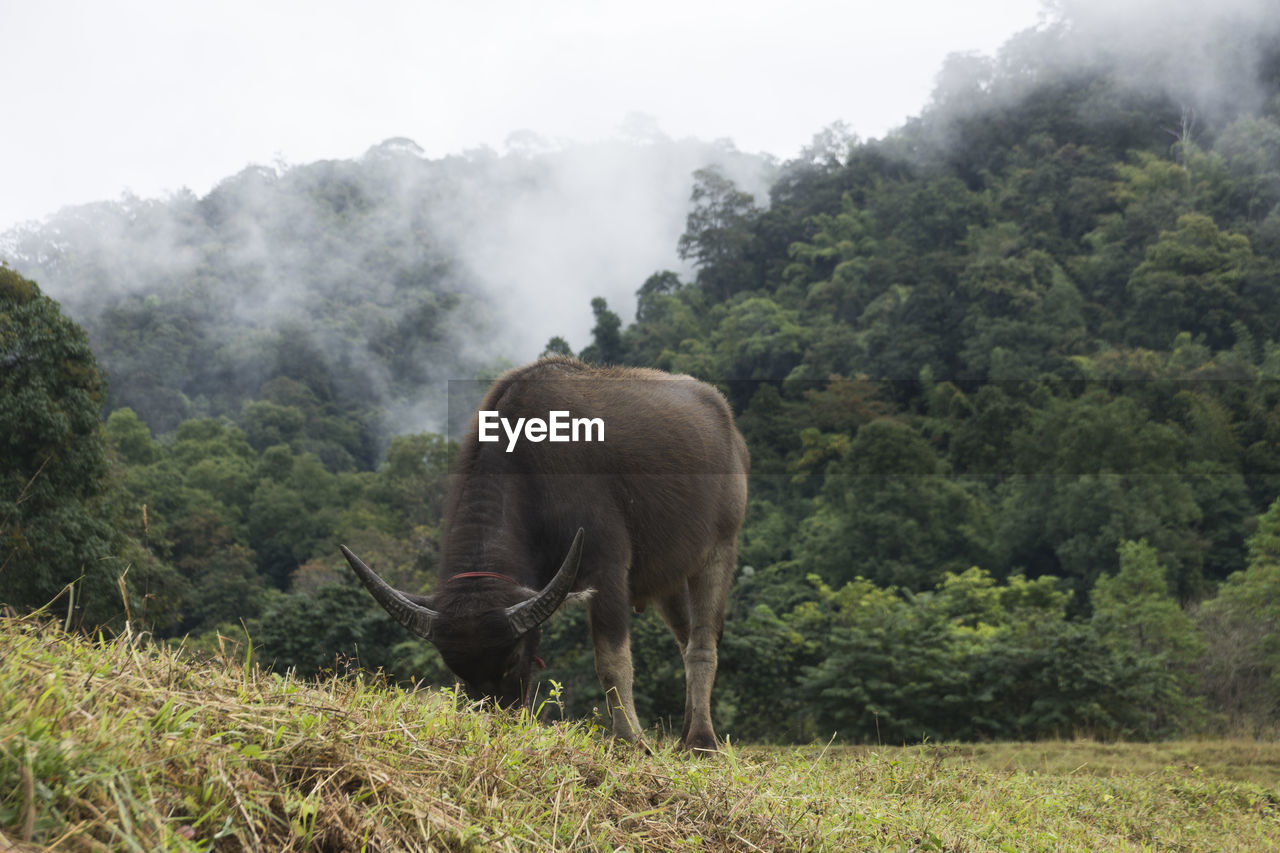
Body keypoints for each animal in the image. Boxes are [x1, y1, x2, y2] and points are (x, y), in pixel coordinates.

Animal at [345, 356, 752, 747]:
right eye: (456, 669)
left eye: (510, 659)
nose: (500, 721)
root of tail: (729, 428)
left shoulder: (605, 568)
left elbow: (611, 660)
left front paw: (630, 739)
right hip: (670, 576)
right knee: (685, 641)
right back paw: (685, 733)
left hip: (721, 547)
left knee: (702, 645)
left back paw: (701, 741)